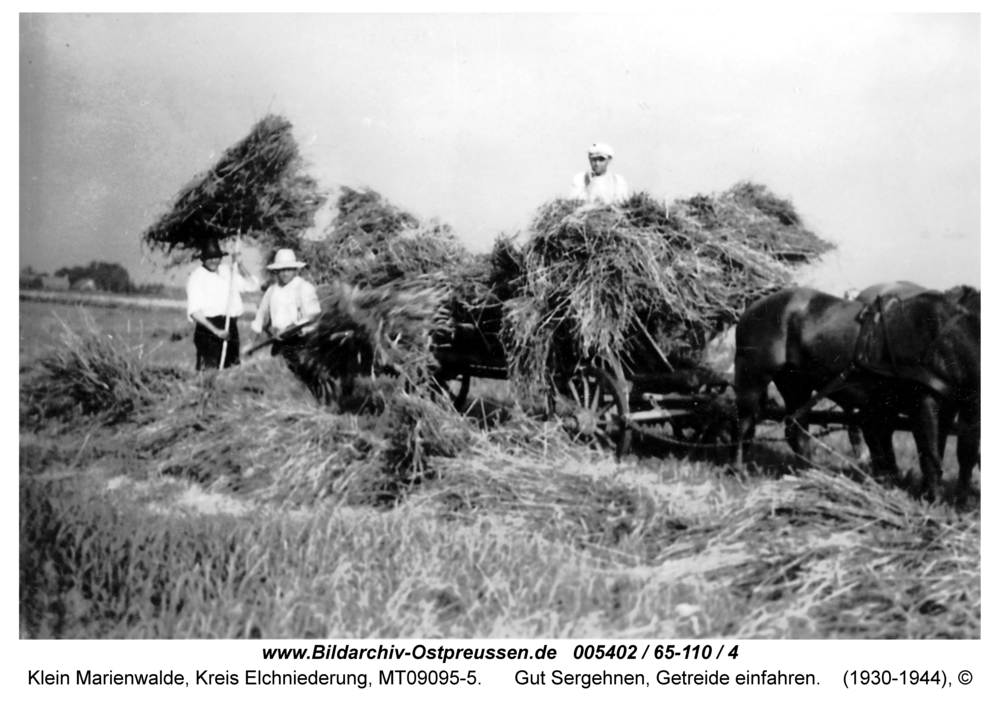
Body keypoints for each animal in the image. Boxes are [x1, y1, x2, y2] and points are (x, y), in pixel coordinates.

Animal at [732, 288, 980, 506]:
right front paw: (933, 500)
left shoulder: (948, 408)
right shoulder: (923, 404)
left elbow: (948, 451)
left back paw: (809, 476)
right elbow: (929, 454)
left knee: (796, 431)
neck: (944, 337)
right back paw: (738, 470)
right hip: (751, 378)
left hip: (795, 385)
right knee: (743, 426)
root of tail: (752, 307)